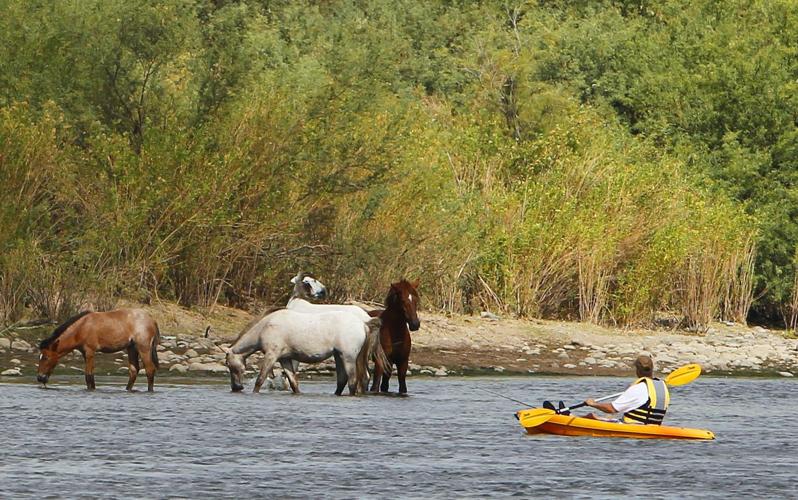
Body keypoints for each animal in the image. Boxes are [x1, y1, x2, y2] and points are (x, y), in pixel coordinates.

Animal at [225, 308, 382, 395]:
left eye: (229, 365)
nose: (236, 387)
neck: (265, 327)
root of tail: (363, 324)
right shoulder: (284, 359)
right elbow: (293, 382)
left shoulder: (271, 355)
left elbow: (260, 379)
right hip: (338, 356)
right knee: (342, 380)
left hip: (348, 357)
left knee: (352, 381)